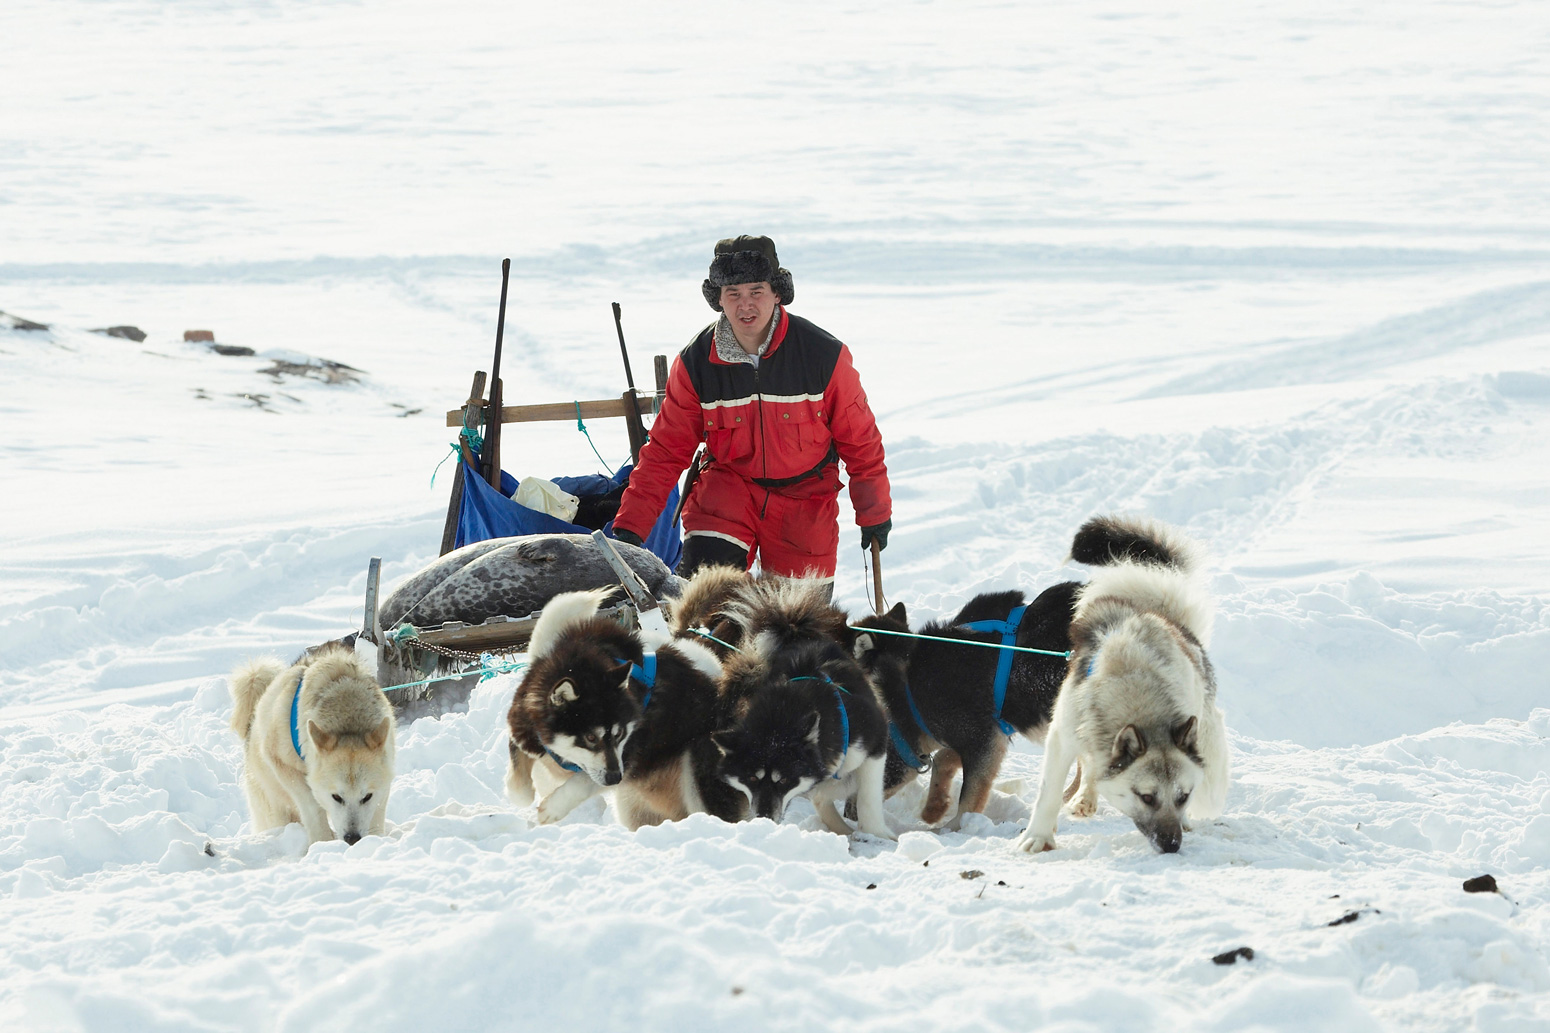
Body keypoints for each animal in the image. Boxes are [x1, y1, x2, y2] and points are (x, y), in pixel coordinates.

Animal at [232, 645, 399, 843]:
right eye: (336, 797)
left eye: (367, 797)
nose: (352, 838)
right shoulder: (280, 761)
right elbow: (312, 803)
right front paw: (323, 841)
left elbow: (377, 810)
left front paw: (374, 840)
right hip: (275, 809)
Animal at [849, 580, 1078, 831]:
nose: (848, 812)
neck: (909, 691)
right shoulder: (984, 736)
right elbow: (943, 758)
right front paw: (934, 807)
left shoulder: (983, 740)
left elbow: (969, 796)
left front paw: (956, 826)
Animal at [1016, 514, 1233, 849]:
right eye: (1146, 797)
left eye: (1182, 796)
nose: (1172, 845)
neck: (1137, 691)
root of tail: (1159, 612)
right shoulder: (1062, 737)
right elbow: (1048, 794)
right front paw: (1038, 837)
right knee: (1090, 767)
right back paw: (1085, 798)